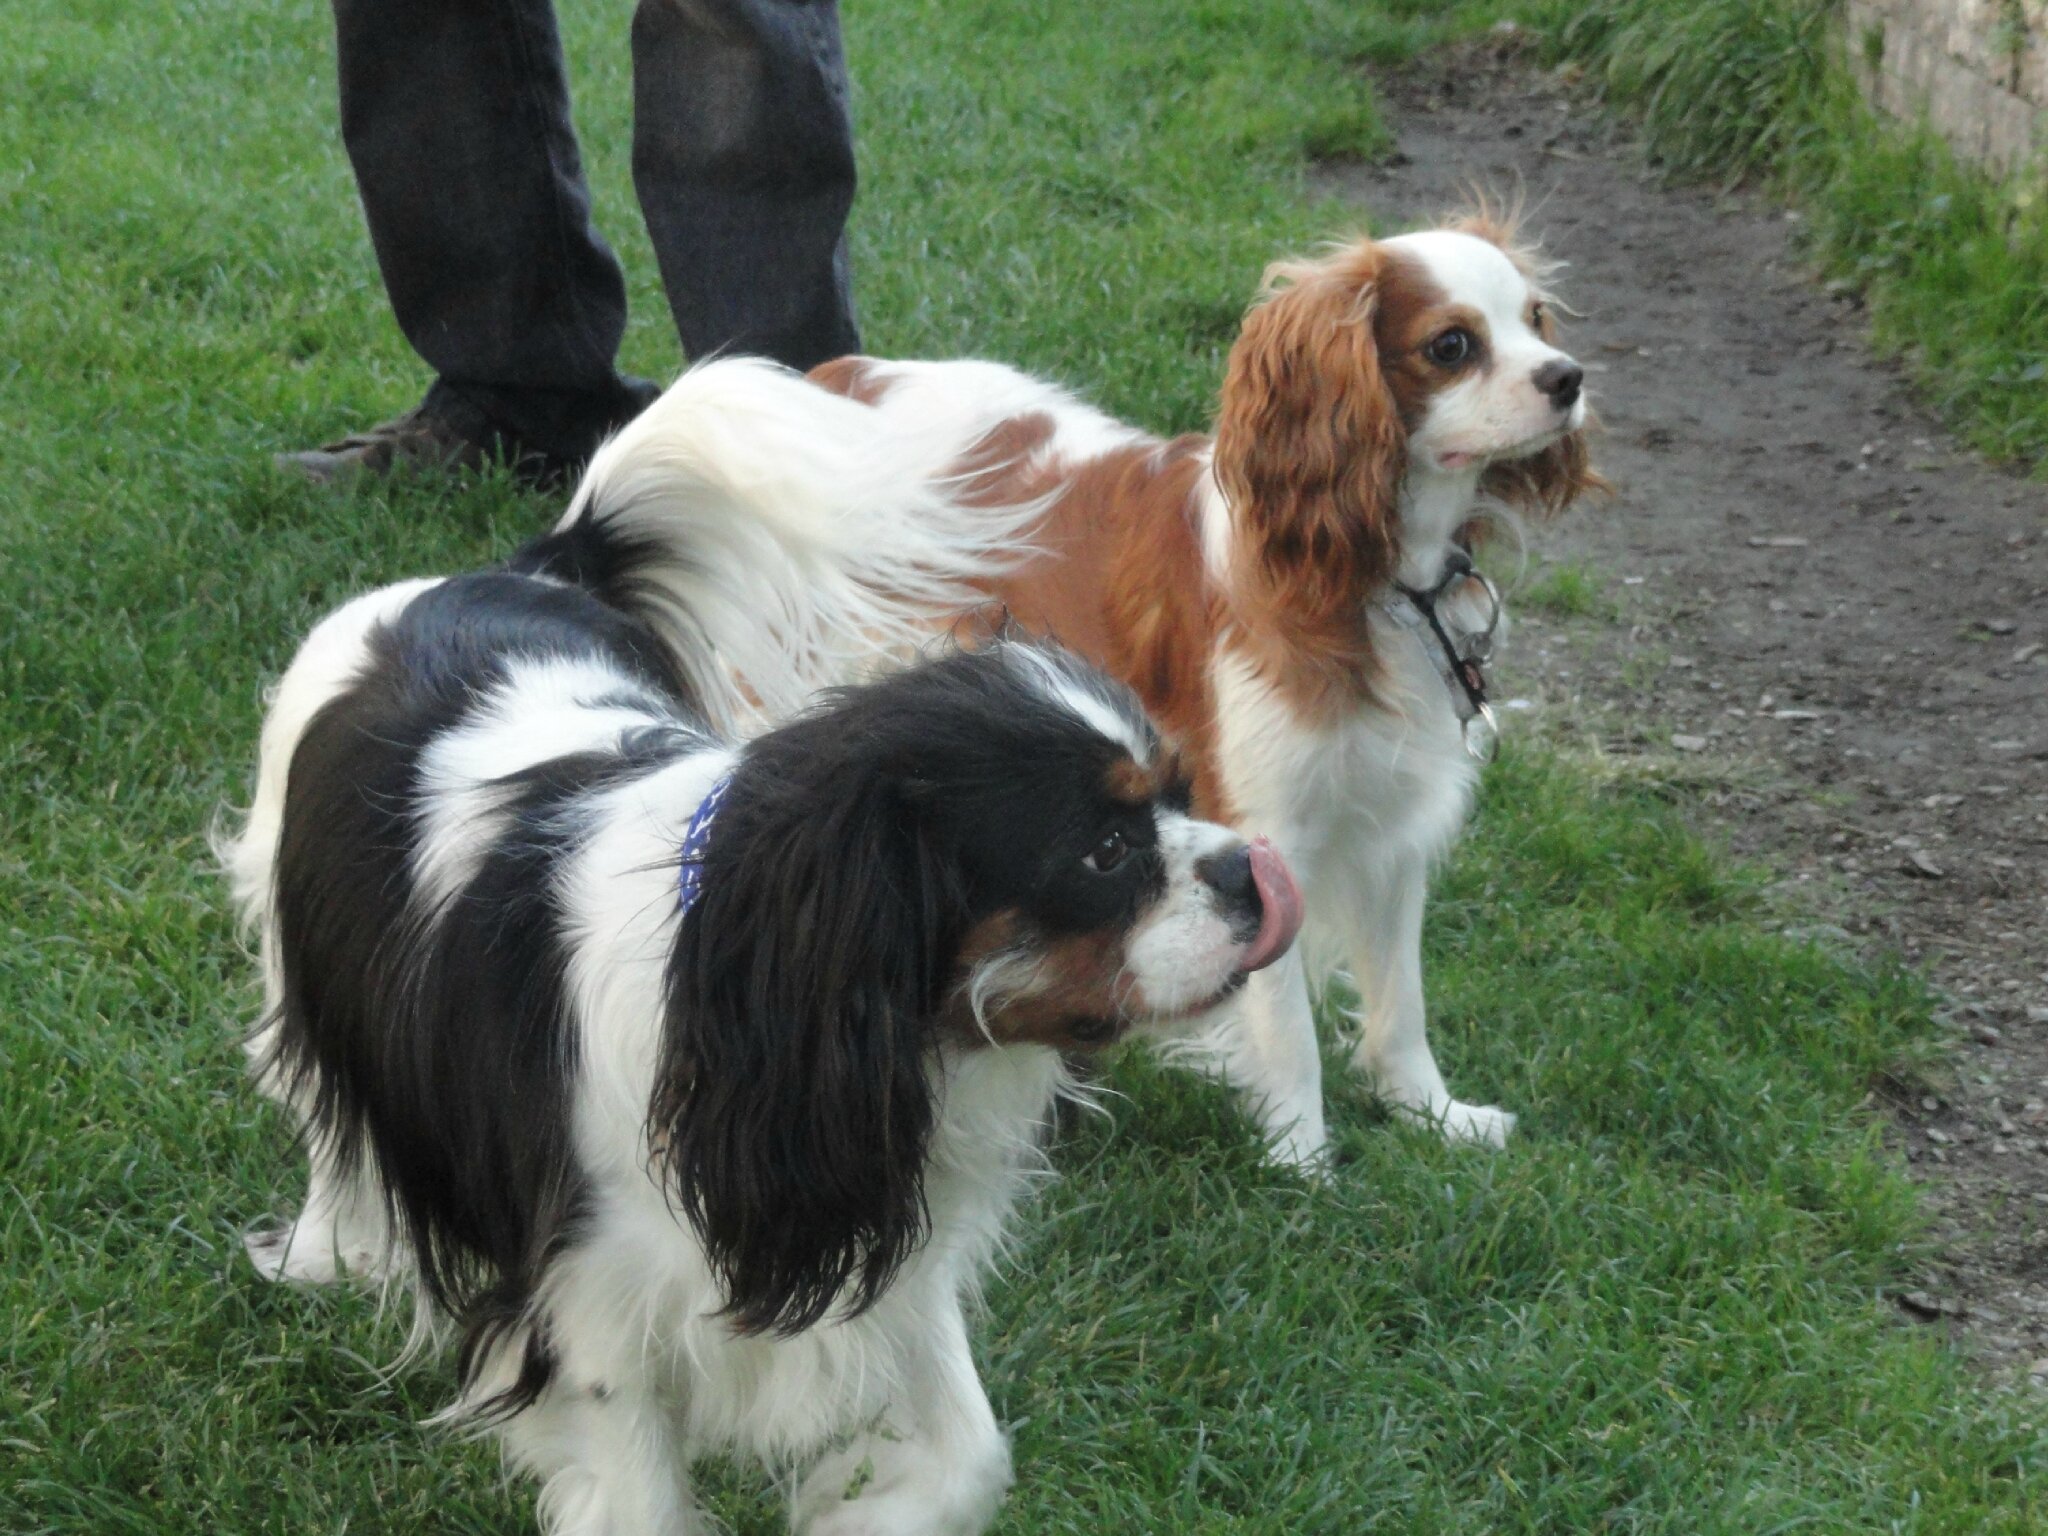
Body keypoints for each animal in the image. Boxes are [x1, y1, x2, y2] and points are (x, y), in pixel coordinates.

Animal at [224, 366, 1302, 1536]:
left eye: (1183, 796)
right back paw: (329, 1253)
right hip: (301, 951)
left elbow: (970, 1456)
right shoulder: (595, 1312)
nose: (1252, 874)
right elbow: (643, 1501)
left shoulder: (877, 1235)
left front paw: (854, 1514)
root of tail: (504, 571)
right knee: (328, 1109)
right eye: (1103, 853)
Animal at [593, 219, 1597, 1163]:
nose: (1570, 378)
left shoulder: (1390, 824)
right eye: (1452, 345)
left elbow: (1400, 1003)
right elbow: (1286, 1027)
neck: (1373, 573)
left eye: (1536, 319)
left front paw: (1431, 1116)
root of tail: (833, 376)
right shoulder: (1264, 824)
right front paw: (1302, 1164)